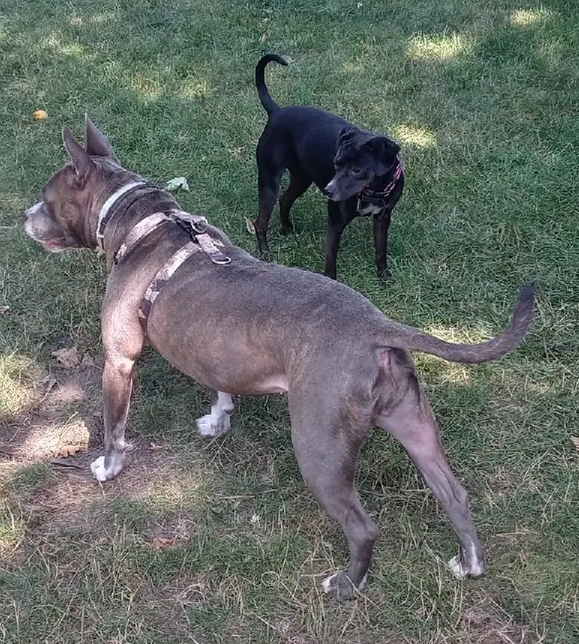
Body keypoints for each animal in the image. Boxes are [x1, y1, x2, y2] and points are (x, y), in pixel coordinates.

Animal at [23, 118, 535, 600]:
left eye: (46, 199)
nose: (24, 216)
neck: (142, 221)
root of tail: (376, 326)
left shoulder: (119, 359)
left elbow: (114, 424)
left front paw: (108, 467)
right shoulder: (216, 350)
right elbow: (221, 387)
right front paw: (218, 420)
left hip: (319, 447)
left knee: (364, 526)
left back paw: (346, 585)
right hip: (415, 426)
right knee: (455, 494)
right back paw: (469, 563)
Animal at [253, 53, 405, 280]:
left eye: (357, 169)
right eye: (336, 163)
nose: (329, 191)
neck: (373, 192)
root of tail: (276, 112)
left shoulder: (383, 218)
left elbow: (380, 250)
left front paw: (384, 276)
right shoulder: (335, 222)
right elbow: (331, 261)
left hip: (301, 179)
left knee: (285, 200)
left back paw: (287, 229)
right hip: (269, 182)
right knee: (260, 223)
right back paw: (265, 253)